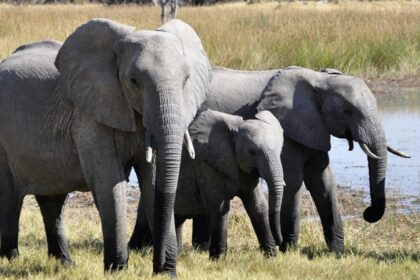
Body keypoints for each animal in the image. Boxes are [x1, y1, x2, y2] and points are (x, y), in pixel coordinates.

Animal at [0, 18, 212, 276]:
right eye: (133, 81)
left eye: (186, 80)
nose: (162, 267)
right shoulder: (90, 116)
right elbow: (109, 183)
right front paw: (117, 270)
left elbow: (152, 181)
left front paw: (165, 273)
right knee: (10, 198)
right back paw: (11, 259)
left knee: (53, 201)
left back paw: (64, 264)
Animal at [130, 109, 284, 258]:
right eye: (252, 152)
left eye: (280, 150)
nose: (279, 242)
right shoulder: (206, 166)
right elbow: (219, 208)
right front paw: (218, 259)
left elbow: (258, 206)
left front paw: (271, 257)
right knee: (145, 219)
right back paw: (135, 251)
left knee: (176, 220)